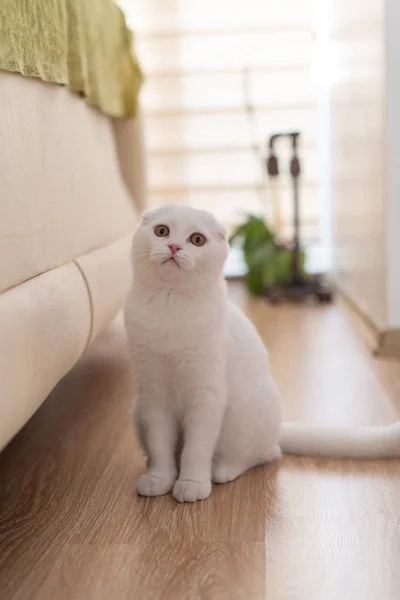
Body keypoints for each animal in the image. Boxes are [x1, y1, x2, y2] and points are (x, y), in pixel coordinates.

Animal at [124, 206, 400, 502]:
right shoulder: (153, 394)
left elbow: (196, 448)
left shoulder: (206, 394)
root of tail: (277, 430)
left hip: (245, 416)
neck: (170, 305)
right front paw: (158, 478)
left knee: (263, 455)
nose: (174, 246)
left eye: (197, 239)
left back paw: (221, 469)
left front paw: (191, 483)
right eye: (162, 231)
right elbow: (160, 446)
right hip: (138, 411)